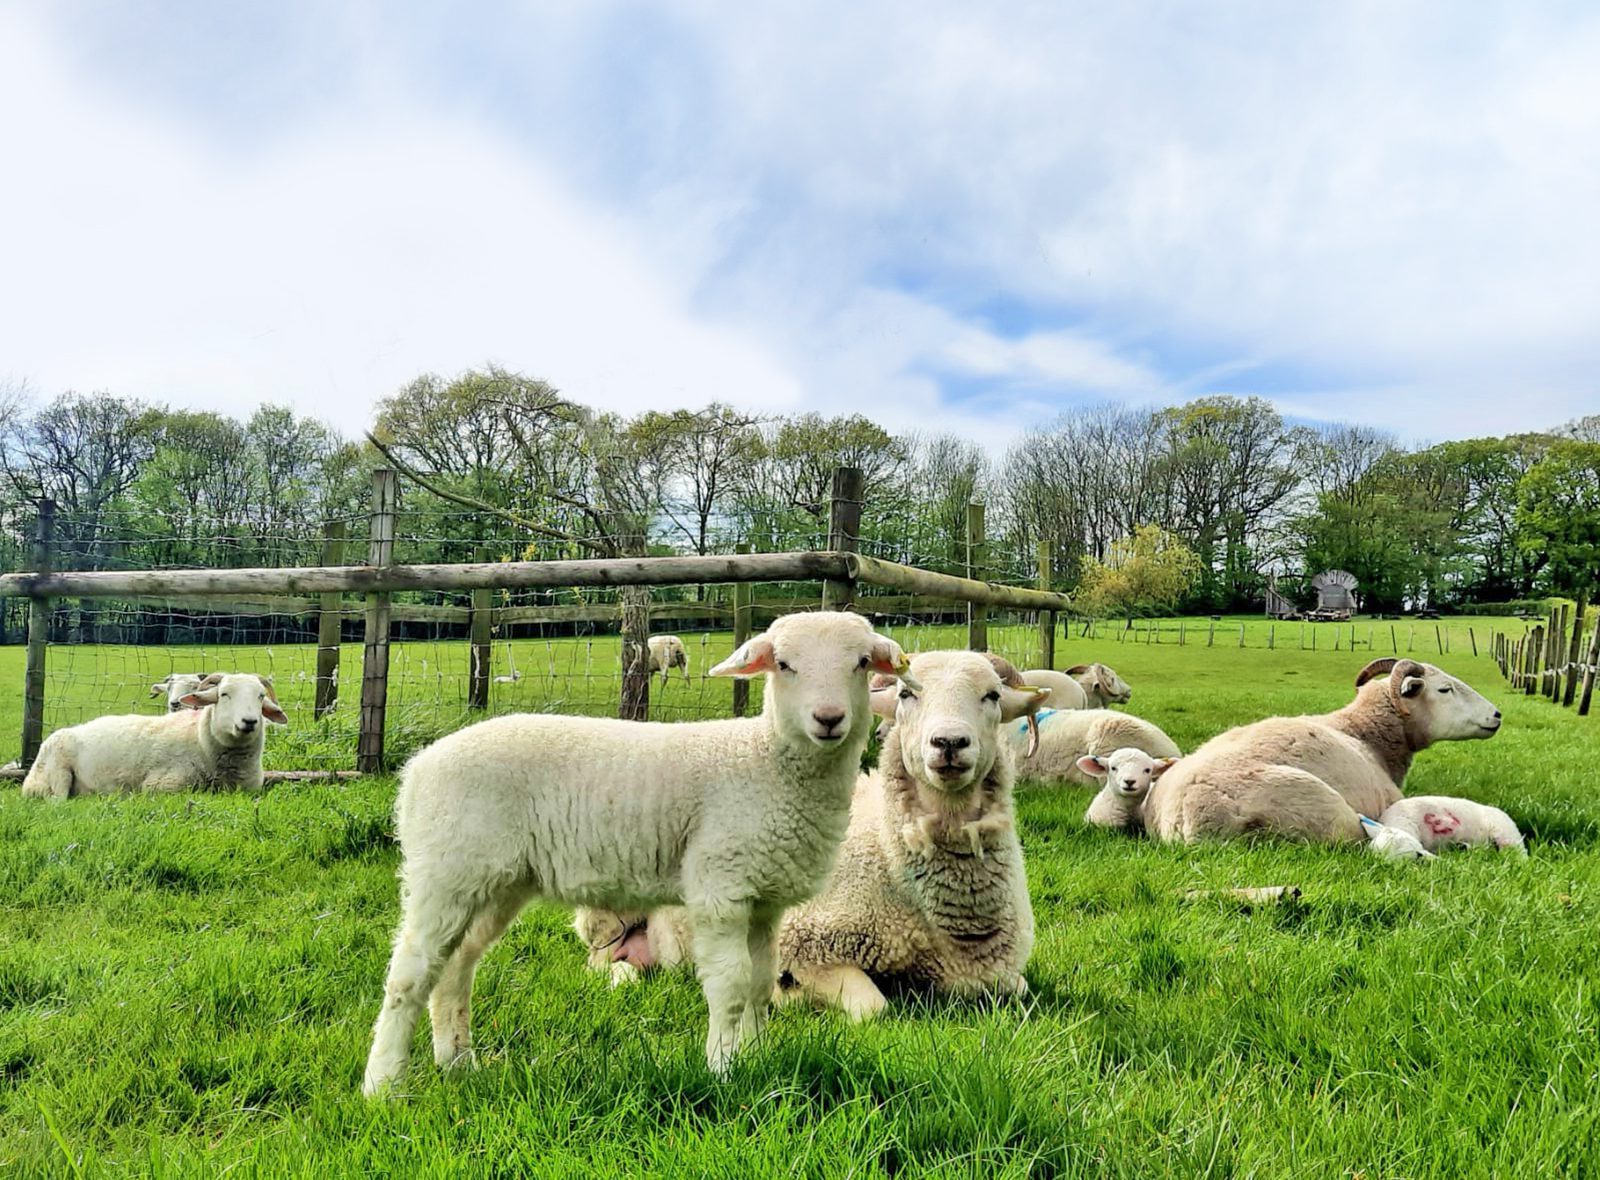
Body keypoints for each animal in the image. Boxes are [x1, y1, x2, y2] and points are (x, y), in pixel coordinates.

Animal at [360, 611, 915, 1095]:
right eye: (783, 664)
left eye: (861, 662)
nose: (829, 719)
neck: (766, 761)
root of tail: (416, 770)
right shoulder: (720, 884)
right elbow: (731, 983)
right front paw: (723, 1069)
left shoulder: (765, 897)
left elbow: (760, 983)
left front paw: (756, 1059)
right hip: (446, 871)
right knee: (409, 973)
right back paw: (382, 1085)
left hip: (494, 881)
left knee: (455, 967)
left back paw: (457, 1062)